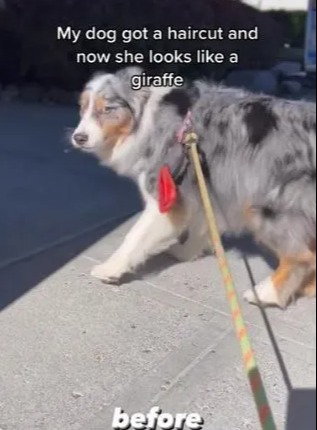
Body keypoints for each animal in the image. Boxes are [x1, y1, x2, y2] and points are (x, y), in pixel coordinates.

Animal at [71, 67, 316, 308]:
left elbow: (136, 236)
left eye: (107, 109)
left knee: (301, 256)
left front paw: (110, 268)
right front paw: (185, 252)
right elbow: (202, 223)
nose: (78, 138)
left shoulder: (167, 191)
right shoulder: (201, 185)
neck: (146, 116)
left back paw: (267, 293)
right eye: (82, 107)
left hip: (271, 204)